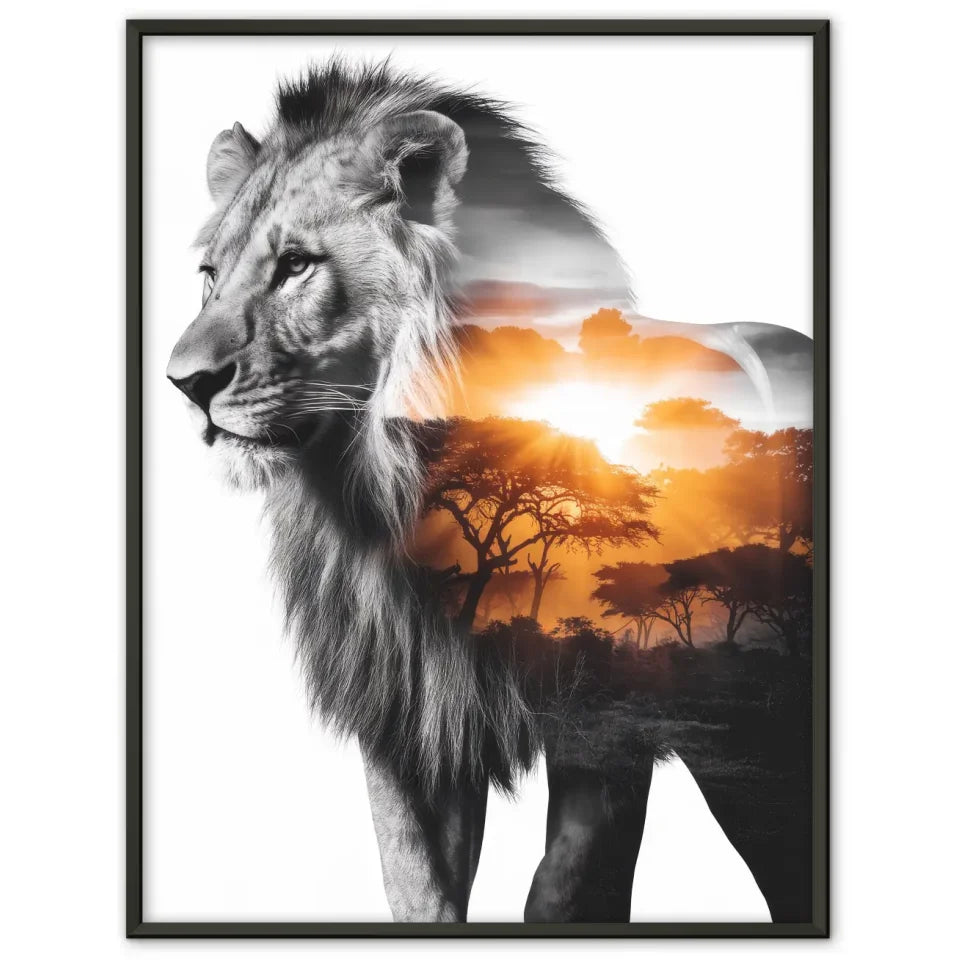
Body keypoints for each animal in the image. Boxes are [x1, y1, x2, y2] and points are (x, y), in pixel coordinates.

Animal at [167, 60, 813, 923]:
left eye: (297, 264)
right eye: (210, 276)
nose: (184, 383)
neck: (388, 488)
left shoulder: (609, 706)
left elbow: (569, 886)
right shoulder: (407, 715)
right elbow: (419, 890)